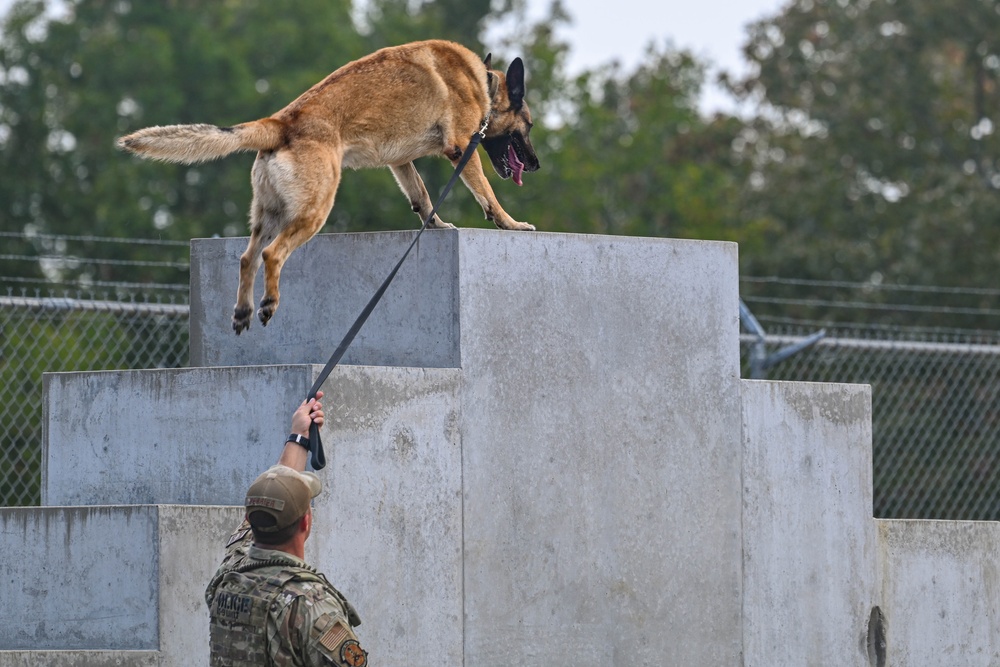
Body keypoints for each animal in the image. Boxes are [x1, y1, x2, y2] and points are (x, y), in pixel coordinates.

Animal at [119, 41, 540, 334]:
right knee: (272, 255)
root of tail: (281, 122)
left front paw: (435, 225)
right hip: (315, 210)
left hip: (270, 215)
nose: (535, 165)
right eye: (530, 126)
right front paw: (512, 223)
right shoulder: (463, 149)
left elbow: (420, 196)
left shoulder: (400, 162)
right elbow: (489, 195)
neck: (483, 82)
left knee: (247, 257)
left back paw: (242, 312)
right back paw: (269, 303)